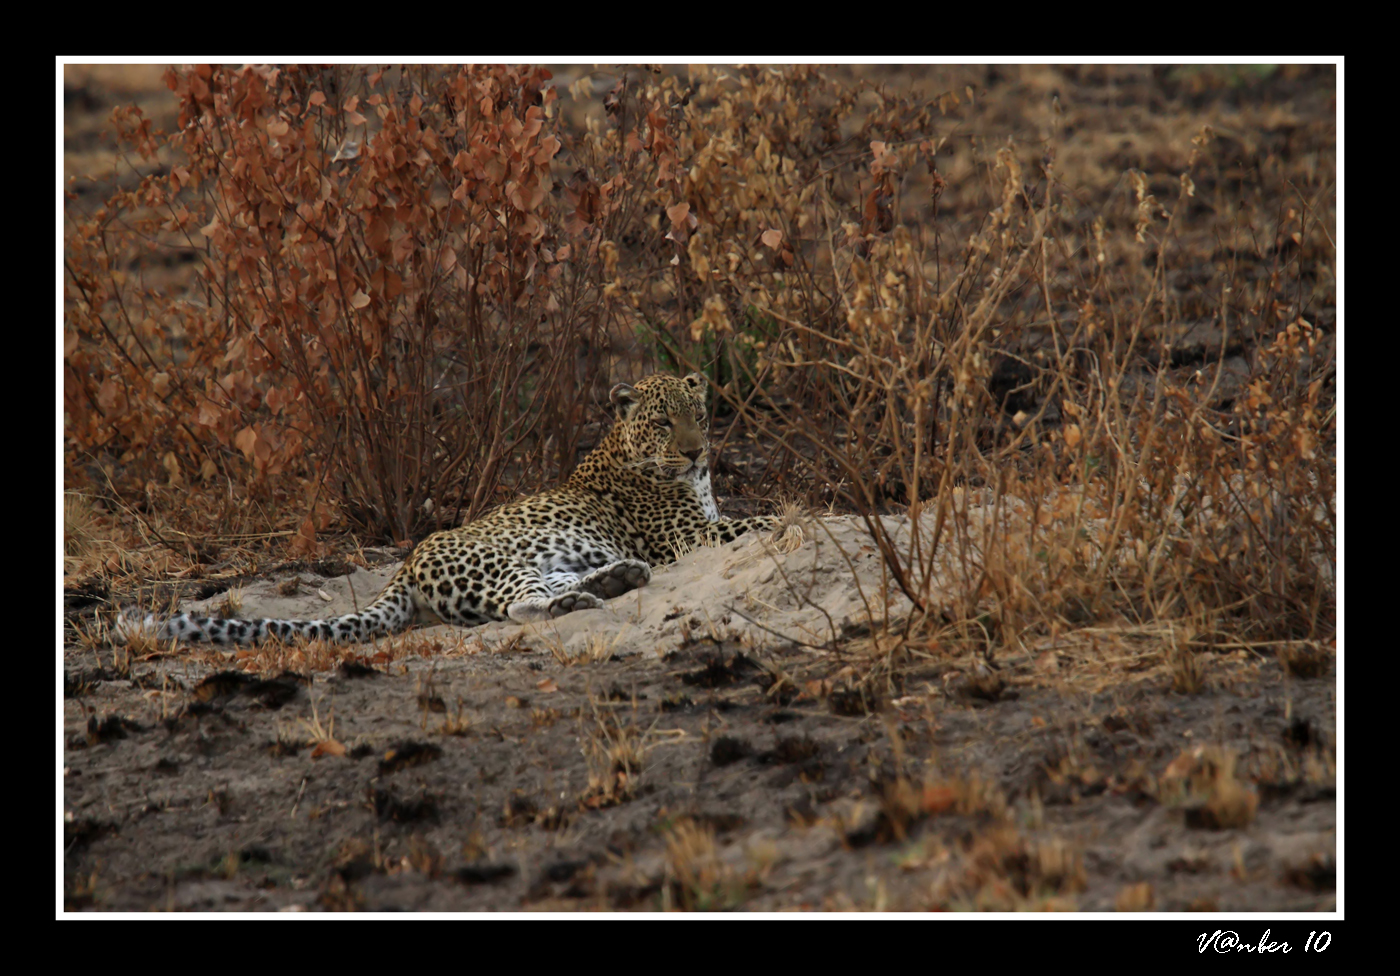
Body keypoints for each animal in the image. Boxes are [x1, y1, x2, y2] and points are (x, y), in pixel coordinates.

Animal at [123, 369, 778, 644]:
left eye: (699, 415)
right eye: (664, 422)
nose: (695, 452)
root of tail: (406, 565)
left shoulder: (702, 523)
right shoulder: (686, 536)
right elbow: (768, 516)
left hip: (539, 561)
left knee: (550, 587)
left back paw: (615, 578)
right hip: (496, 564)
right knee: (521, 608)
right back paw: (583, 599)